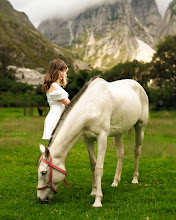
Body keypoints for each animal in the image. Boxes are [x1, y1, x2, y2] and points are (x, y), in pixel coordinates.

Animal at [36, 77, 148, 208]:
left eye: (43, 172)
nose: (40, 199)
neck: (91, 107)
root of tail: (137, 84)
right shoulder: (87, 140)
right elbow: (93, 165)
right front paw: (93, 192)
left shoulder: (102, 138)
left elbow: (99, 168)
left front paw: (98, 200)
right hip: (118, 133)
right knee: (121, 154)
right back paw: (115, 182)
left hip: (140, 127)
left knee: (137, 152)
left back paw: (135, 179)